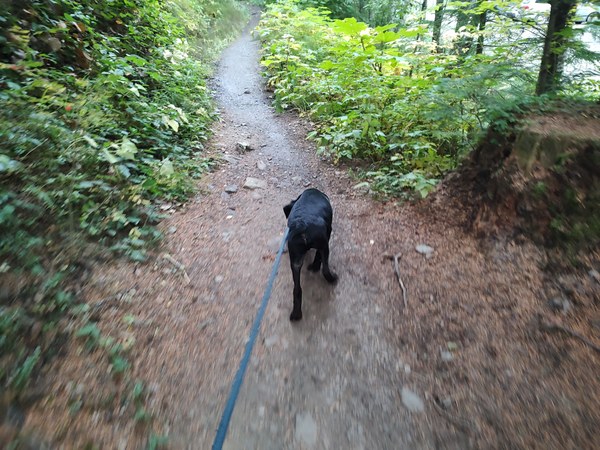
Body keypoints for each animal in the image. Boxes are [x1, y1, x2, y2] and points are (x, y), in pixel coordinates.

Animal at [282, 188, 338, 322]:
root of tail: (302, 226)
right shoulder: (327, 236)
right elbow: (318, 256)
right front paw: (314, 266)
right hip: (324, 246)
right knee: (325, 269)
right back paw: (330, 277)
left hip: (295, 260)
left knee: (297, 289)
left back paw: (296, 314)